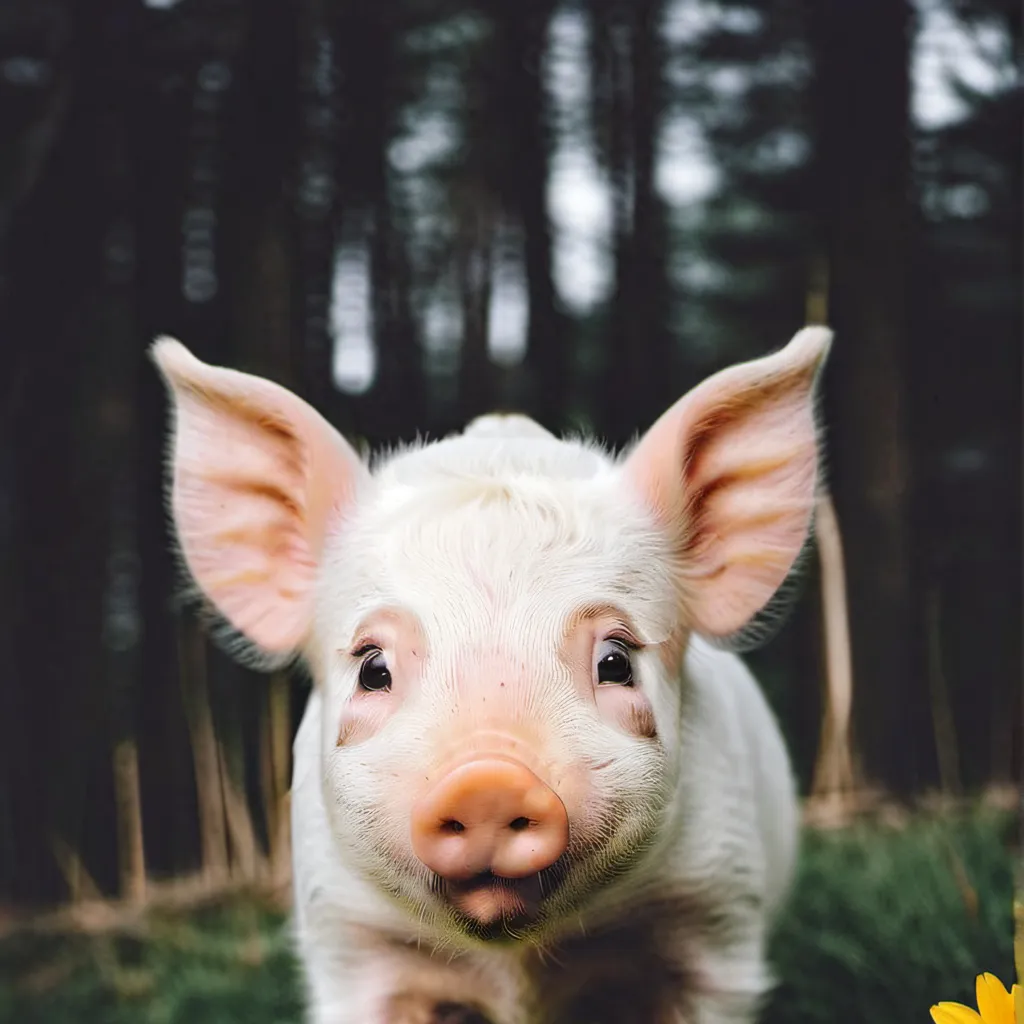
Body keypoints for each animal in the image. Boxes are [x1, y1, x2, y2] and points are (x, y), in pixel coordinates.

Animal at [152, 325, 831, 1024]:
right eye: (373, 668)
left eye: (616, 661)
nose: (488, 781)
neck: (517, 966)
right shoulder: (346, 940)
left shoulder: (719, 918)